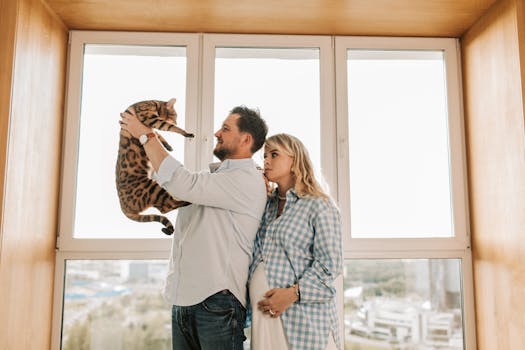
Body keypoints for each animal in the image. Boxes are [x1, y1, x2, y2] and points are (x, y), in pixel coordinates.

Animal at [115, 98, 193, 235]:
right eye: (174, 115)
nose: (177, 120)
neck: (152, 102)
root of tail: (123, 207)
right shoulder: (149, 118)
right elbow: (169, 128)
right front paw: (185, 133)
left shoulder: (151, 124)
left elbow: (157, 134)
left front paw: (168, 146)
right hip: (153, 189)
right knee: (167, 207)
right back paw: (186, 201)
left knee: (164, 207)